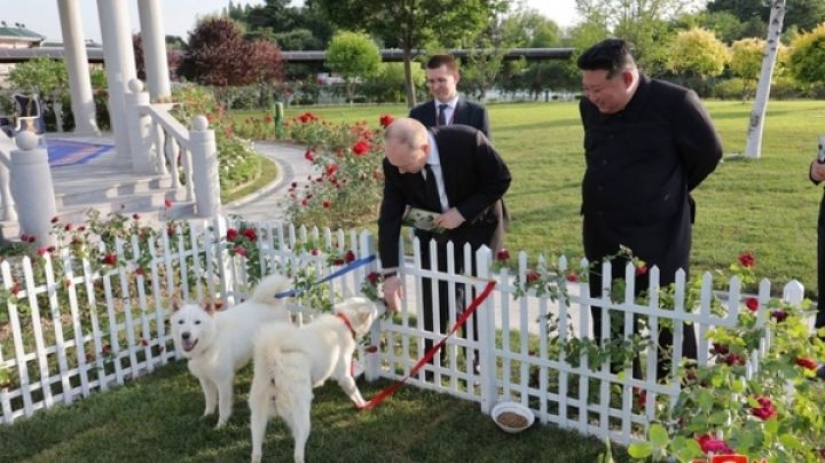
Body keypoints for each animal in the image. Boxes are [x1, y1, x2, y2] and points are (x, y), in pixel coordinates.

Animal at [171, 274, 292, 430]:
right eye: (181, 322)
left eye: (197, 322)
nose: (185, 335)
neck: (212, 340)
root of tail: (271, 302)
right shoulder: (205, 379)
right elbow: (209, 400)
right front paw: (206, 416)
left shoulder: (223, 382)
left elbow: (222, 406)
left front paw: (220, 425)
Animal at [248, 298, 384, 463]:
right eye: (373, 305)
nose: (383, 300)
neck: (344, 320)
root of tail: (273, 360)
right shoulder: (344, 375)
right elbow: (354, 391)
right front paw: (364, 404)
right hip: (301, 419)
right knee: (298, 452)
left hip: (257, 421)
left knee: (256, 452)